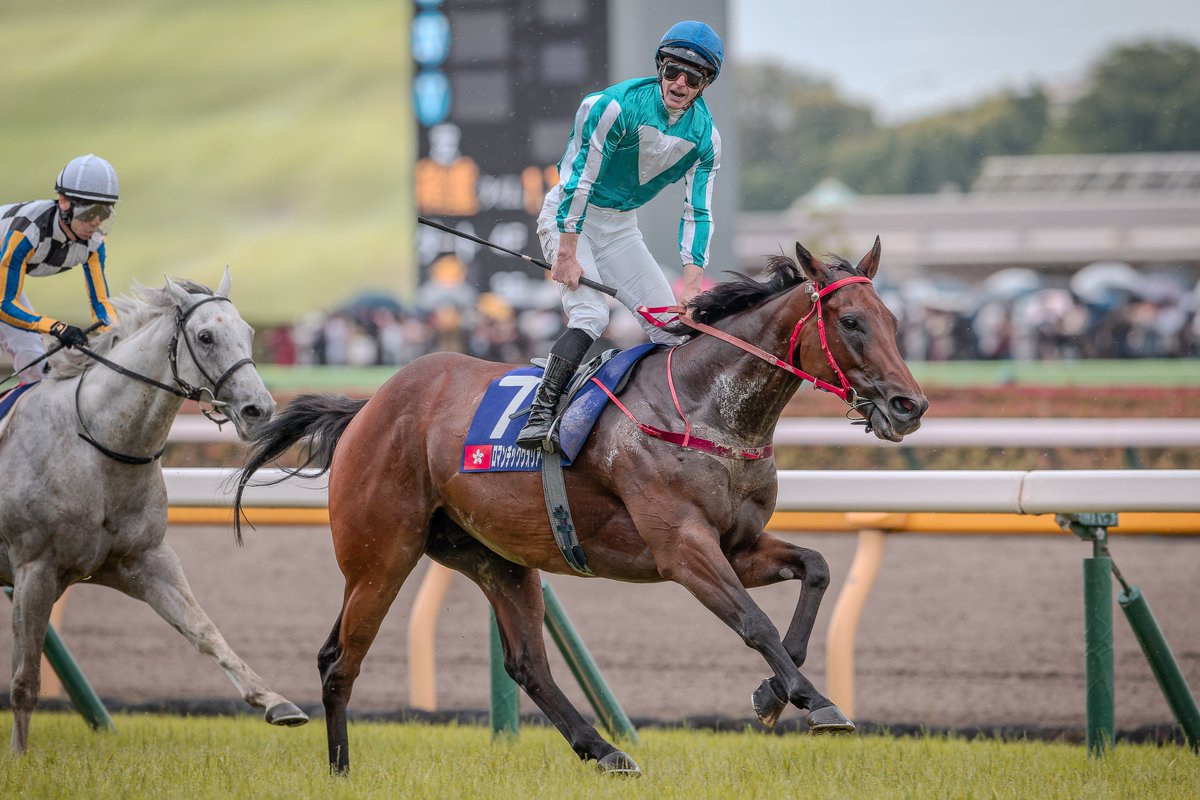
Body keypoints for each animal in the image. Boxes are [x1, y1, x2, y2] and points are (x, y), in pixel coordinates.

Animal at [0, 269, 308, 753]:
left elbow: (204, 630)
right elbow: (24, 679)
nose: (259, 410)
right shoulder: (34, 567)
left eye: (249, 332)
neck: (99, 446)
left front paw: (276, 702)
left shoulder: (145, 560)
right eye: (205, 336)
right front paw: (19, 757)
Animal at [235, 241, 928, 775]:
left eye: (893, 320)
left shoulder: (737, 544)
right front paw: (816, 702)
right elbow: (753, 622)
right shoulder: (682, 548)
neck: (703, 410)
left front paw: (771, 693)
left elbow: (817, 569)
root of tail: (367, 406)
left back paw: (606, 750)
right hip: (380, 553)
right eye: (850, 321)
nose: (909, 405)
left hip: (496, 558)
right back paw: (340, 770)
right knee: (338, 659)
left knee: (528, 664)